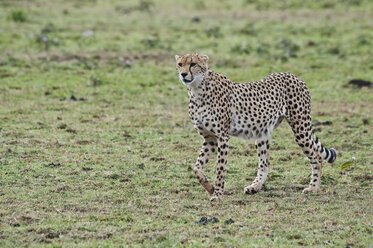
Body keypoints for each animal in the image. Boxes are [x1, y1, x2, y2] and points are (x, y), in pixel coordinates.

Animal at [175, 53, 338, 201]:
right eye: (180, 64)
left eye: (193, 64)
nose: (183, 74)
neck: (197, 89)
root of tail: (293, 76)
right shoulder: (210, 138)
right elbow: (196, 167)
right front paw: (210, 187)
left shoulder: (222, 137)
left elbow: (220, 168)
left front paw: (218, 194)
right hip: (262, 132)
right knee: (265, 163)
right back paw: (255, 187)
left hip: (300, 128)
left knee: (317, 157)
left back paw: (313, 188)